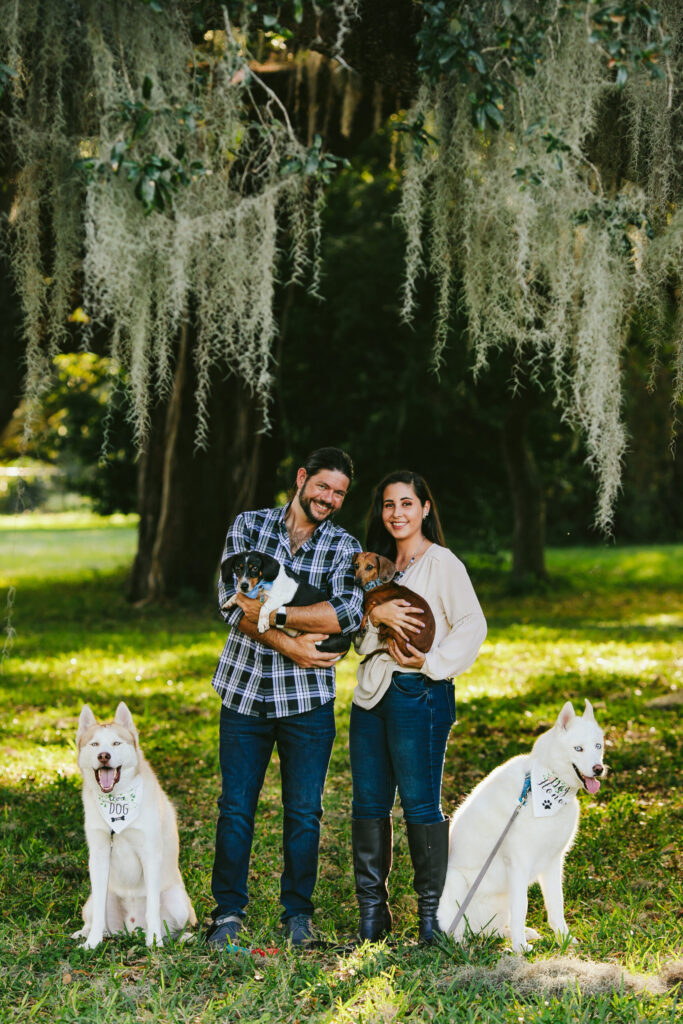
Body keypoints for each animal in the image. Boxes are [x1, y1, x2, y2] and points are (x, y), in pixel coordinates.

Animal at [222, 552, 352, 655]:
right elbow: (237, 594)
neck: (263, 584)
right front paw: (229, 602)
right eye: (237, 569)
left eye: (254, 568)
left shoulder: (278, 599)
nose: (244, 586)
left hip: (318, 642)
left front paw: (262, 624)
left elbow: (264, 608)